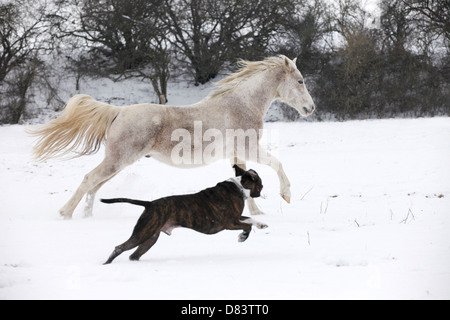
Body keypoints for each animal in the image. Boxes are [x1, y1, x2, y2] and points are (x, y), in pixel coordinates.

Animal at [29, 55, 314, 220]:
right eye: (300, 81)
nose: (311, 108)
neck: (240, 105)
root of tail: (120, 111)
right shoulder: (249, 148)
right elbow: (277, 164)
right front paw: (286, 195)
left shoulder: (237, 154)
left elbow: (245, 180)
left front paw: (257, 213)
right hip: (117, 160)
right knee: (89, 180)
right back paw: (65, 214)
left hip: (119, 163)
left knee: (95, 186)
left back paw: (87, 217)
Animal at [101, 166, 268, 264]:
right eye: (261, 183)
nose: (263, 192)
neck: (239, 187)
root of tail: (150, 204)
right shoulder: (229, 223)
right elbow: (247, 226)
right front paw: (242, 237)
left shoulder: (236, 218)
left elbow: (250, 219)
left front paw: (261, 224)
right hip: (143, 233)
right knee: (119, 248)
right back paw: (106, 264)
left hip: (150, 237)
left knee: (134, 255)